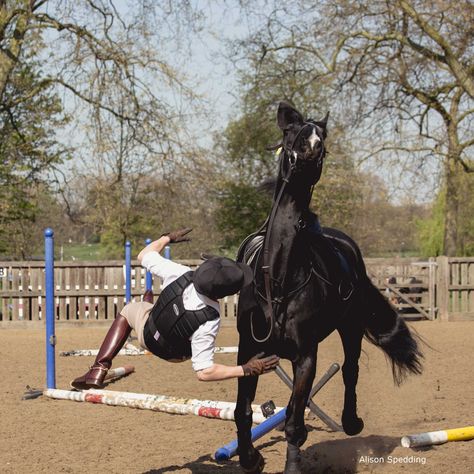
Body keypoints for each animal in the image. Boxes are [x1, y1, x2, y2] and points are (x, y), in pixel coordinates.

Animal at [233, 102, 422, 472]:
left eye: (322, 137)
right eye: (291, 133)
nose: (310, 149)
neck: (279, 280)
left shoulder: (306, 356)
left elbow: (294, 422)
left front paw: (291, 464)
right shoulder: (248, 350)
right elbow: (242, 411)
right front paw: (250, 458)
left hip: (350, 328)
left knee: (350, 370)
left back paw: (352, 422)